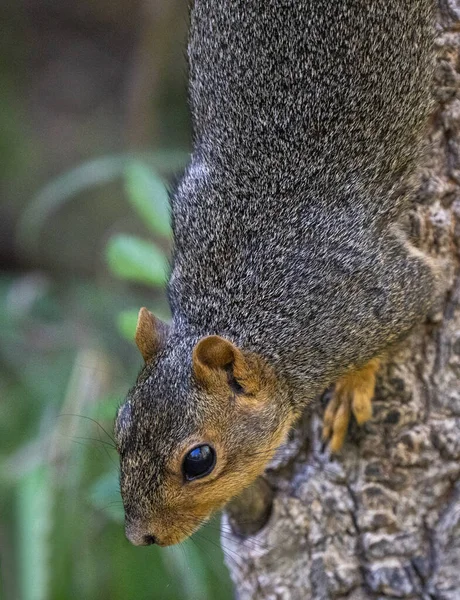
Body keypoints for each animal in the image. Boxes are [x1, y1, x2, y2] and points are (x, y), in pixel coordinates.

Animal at [114, 0, 434, 548]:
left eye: (198, 461)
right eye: (120, 425)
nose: (139, 538)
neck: (243, 300)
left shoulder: (382, 296)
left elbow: (420, 297)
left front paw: (351, 390)